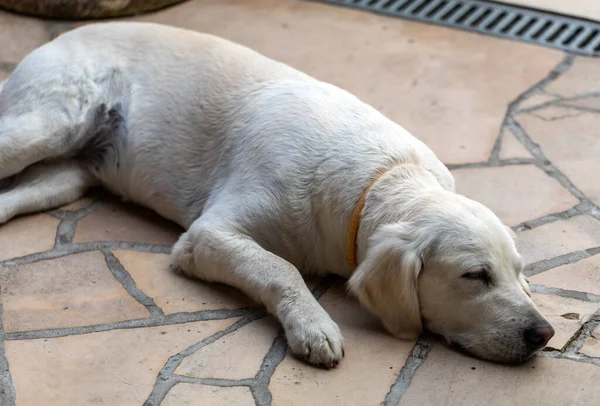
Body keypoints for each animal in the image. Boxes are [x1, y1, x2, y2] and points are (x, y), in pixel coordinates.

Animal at [0, 22, 552, 368]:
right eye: (474, 276)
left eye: (518, 271)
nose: (543, 334)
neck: (381, 177)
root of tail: (60, 37)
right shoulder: (206, 236)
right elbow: (280, 268)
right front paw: (313, 326)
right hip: (48, 123)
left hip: (68, 177)